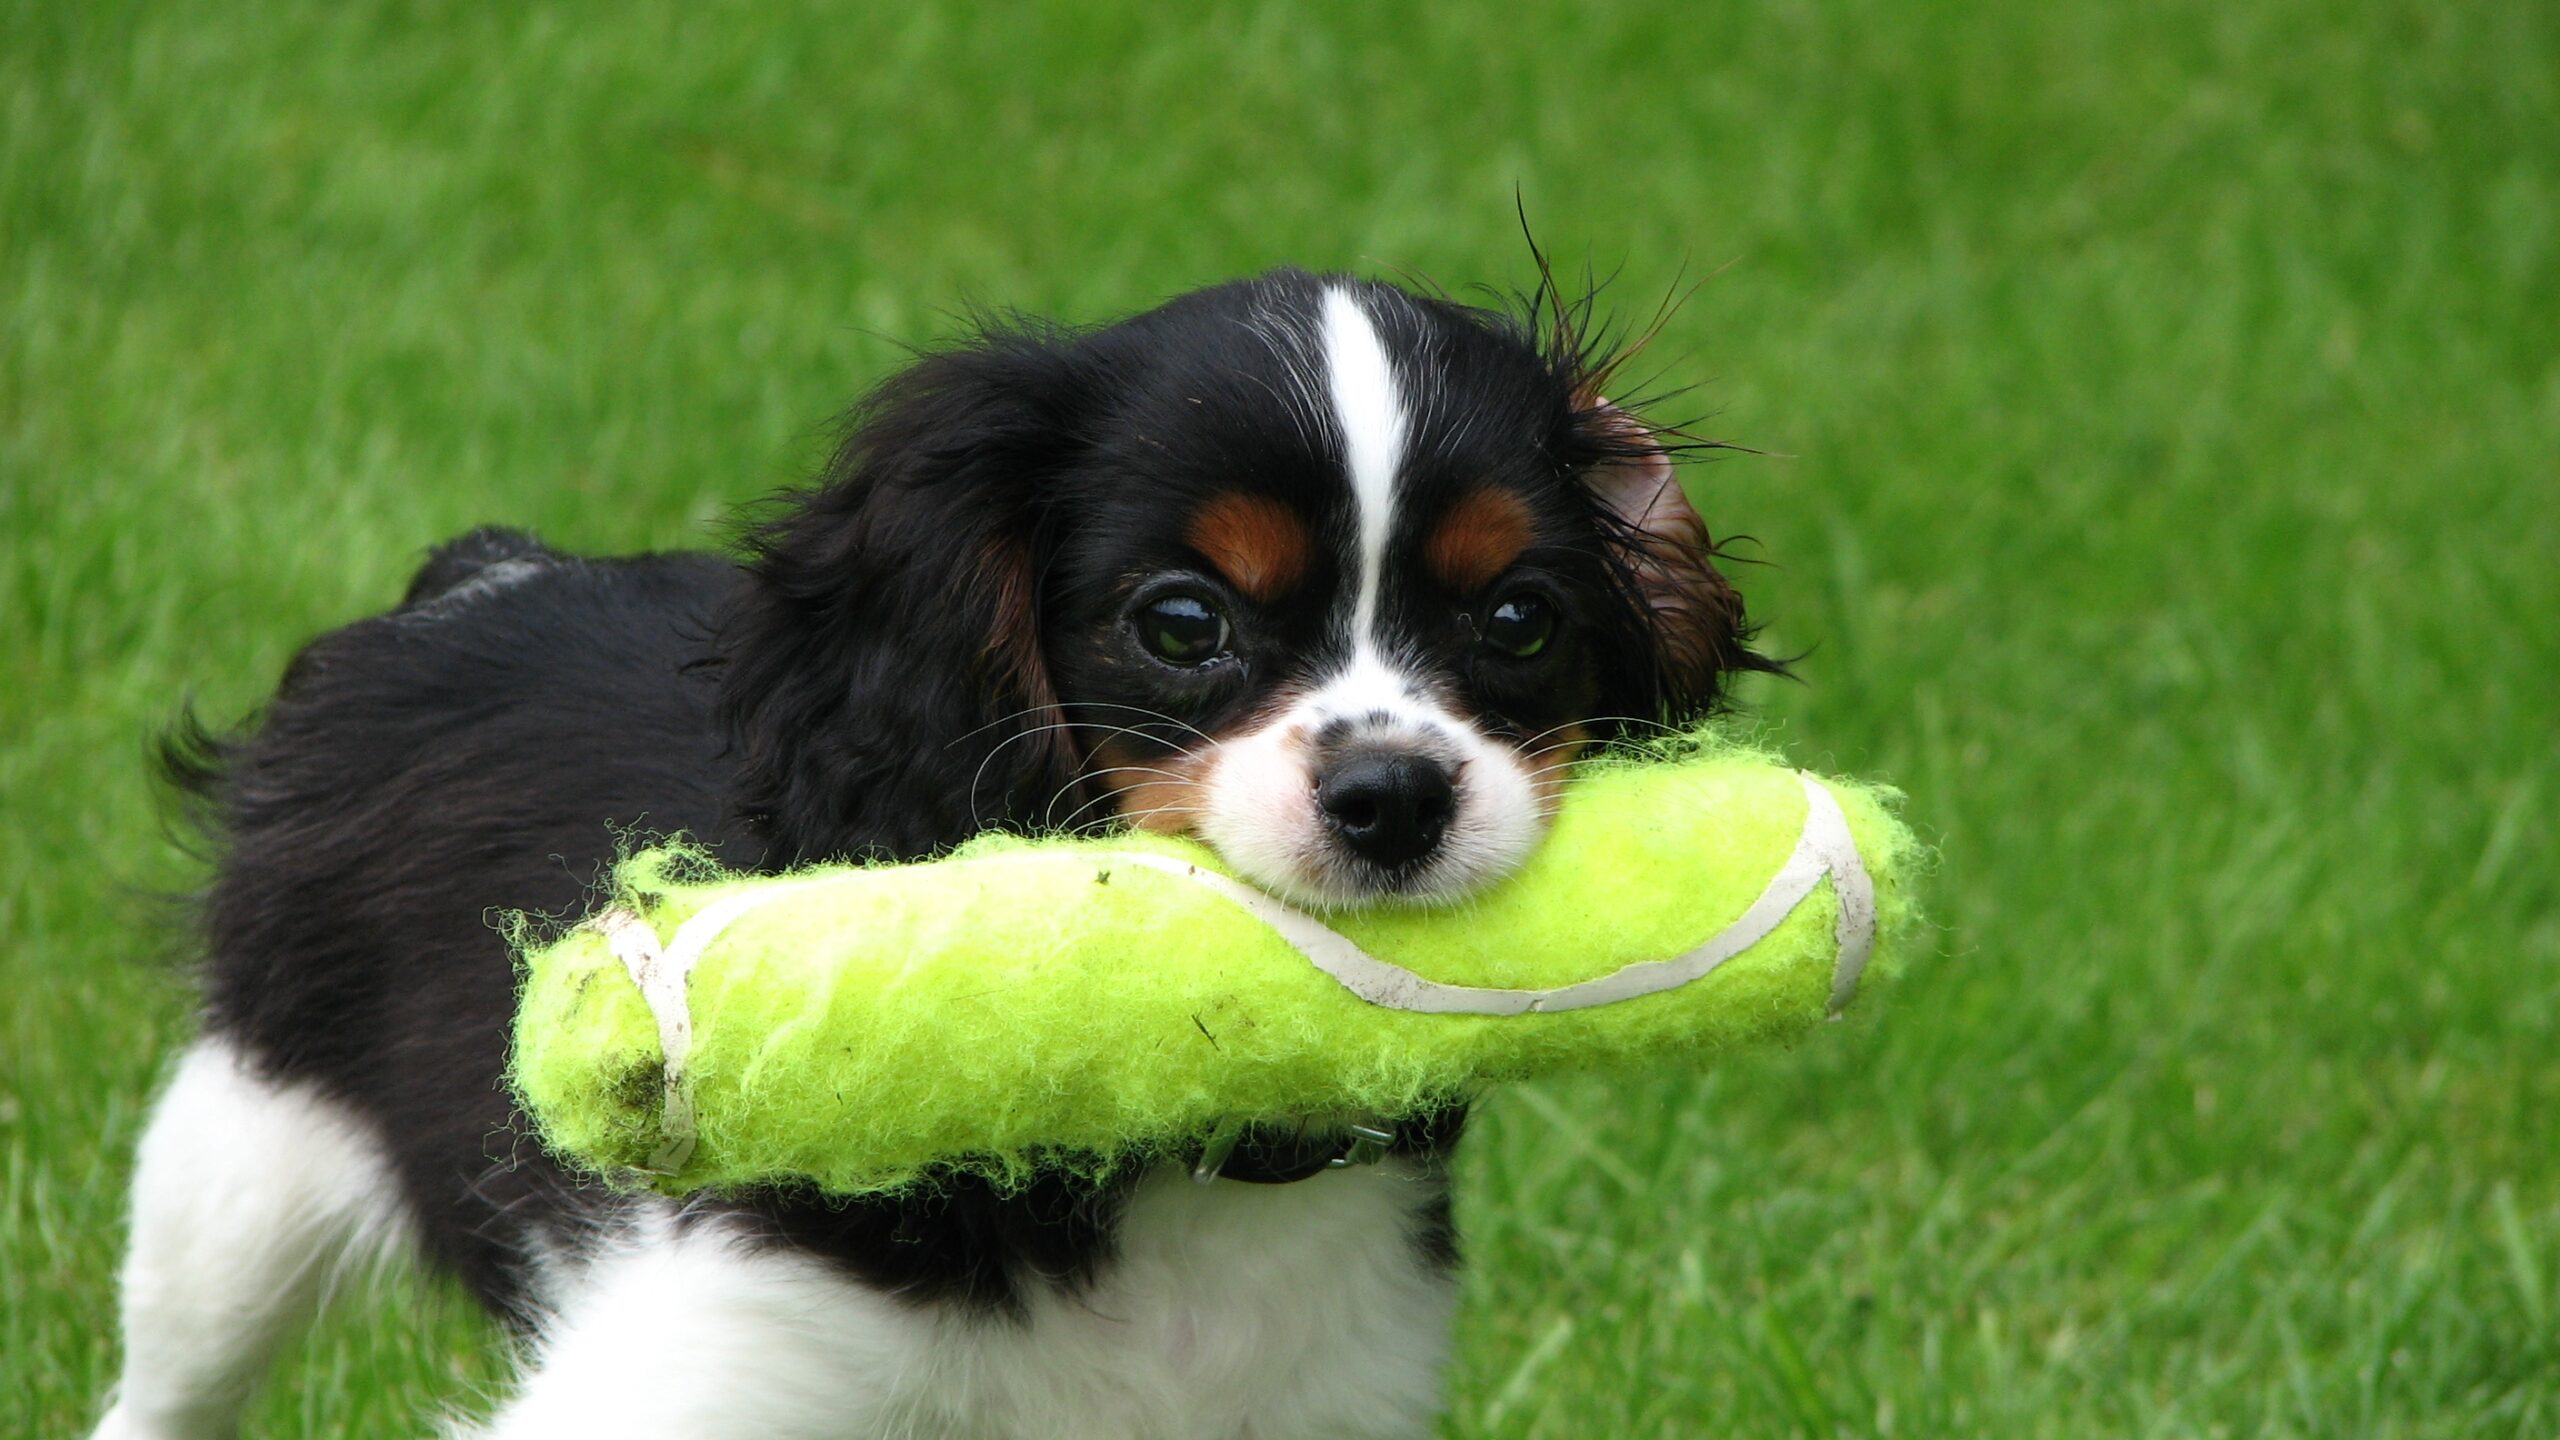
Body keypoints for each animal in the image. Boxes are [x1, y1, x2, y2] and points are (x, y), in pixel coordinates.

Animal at [99, 269, 1781, 1434]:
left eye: (1520, 621)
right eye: (1184, 623)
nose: (1395, 795)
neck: (1179, 1166)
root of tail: (482, 575)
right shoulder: (705, 1367)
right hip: (241, 1161)